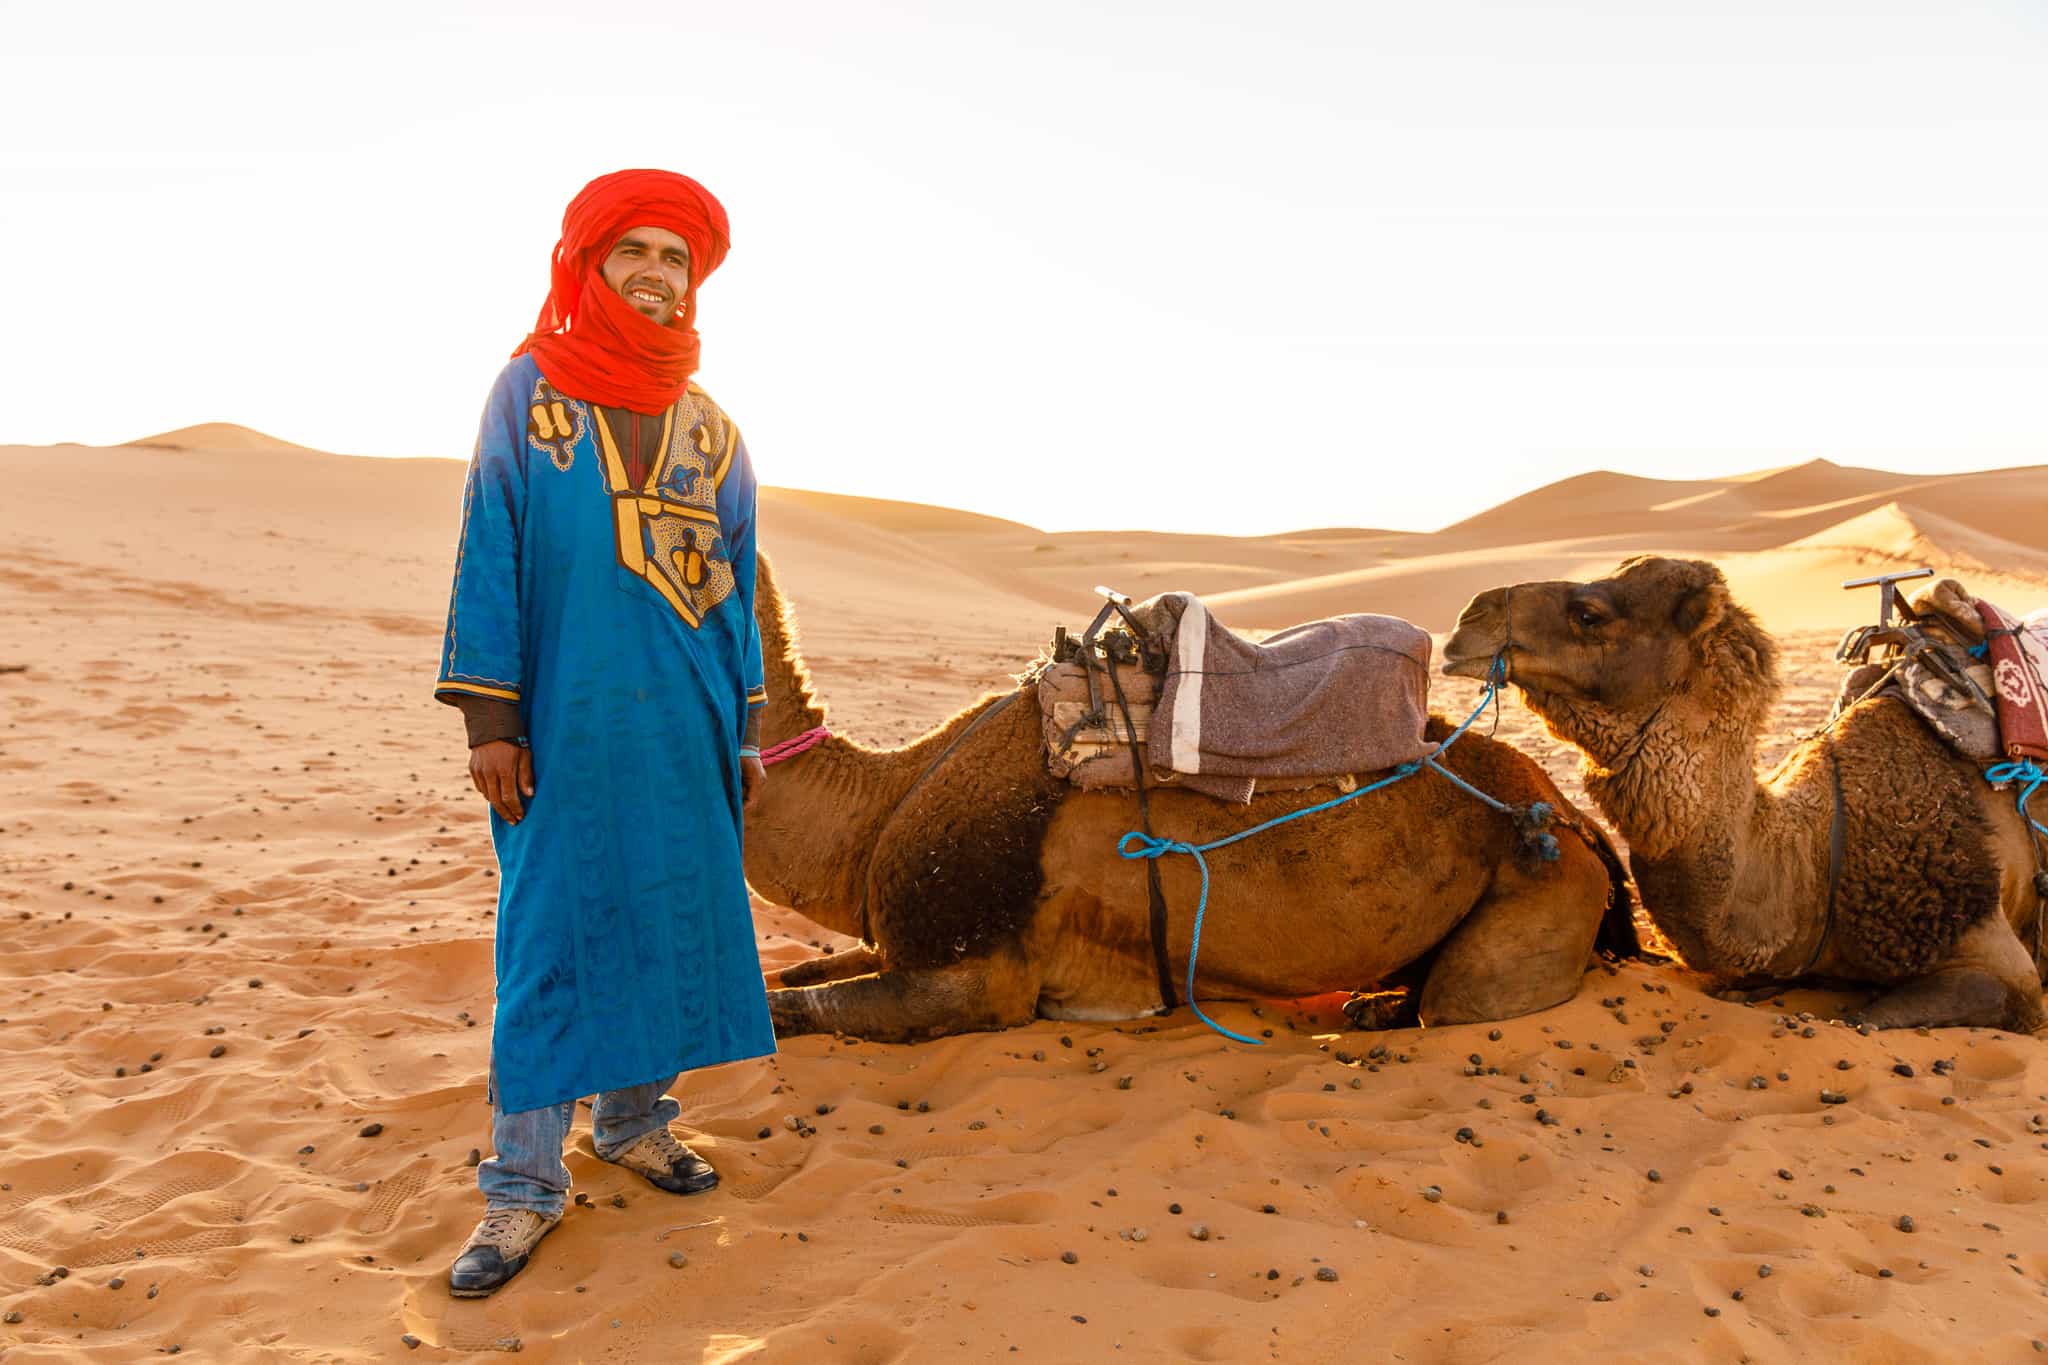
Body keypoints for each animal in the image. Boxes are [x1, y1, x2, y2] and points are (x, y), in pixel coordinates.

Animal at [737, 548, 1630, 1039]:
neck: (880, 803)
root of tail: (1574, 822)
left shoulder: (979, 976)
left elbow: (792, 1012)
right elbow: (794, 977)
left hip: (1535, 900)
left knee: (1450, 1000)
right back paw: (1371, 1002)